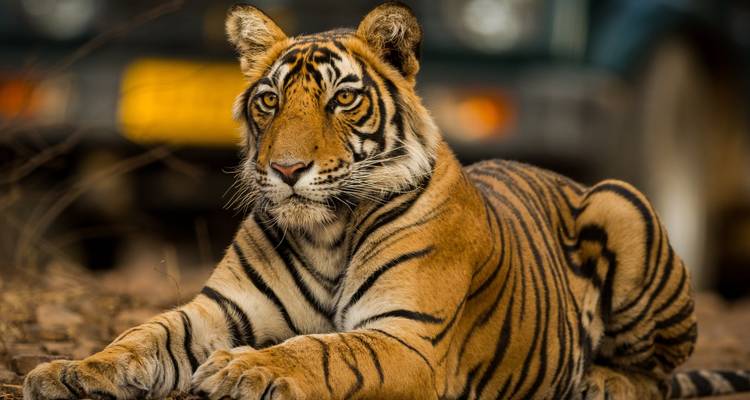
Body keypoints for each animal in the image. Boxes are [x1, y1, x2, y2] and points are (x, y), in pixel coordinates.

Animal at [22, 2, 750, 399]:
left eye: (343, 99)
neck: (326, 230)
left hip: (622, 203)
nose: (286, 169)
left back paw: (600, 381)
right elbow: (143, 334)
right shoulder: (218, 310)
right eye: (269, 101)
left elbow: (320, 349)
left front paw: (244, 367)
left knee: (659, 370)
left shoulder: (406, 335)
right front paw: (71, 368)